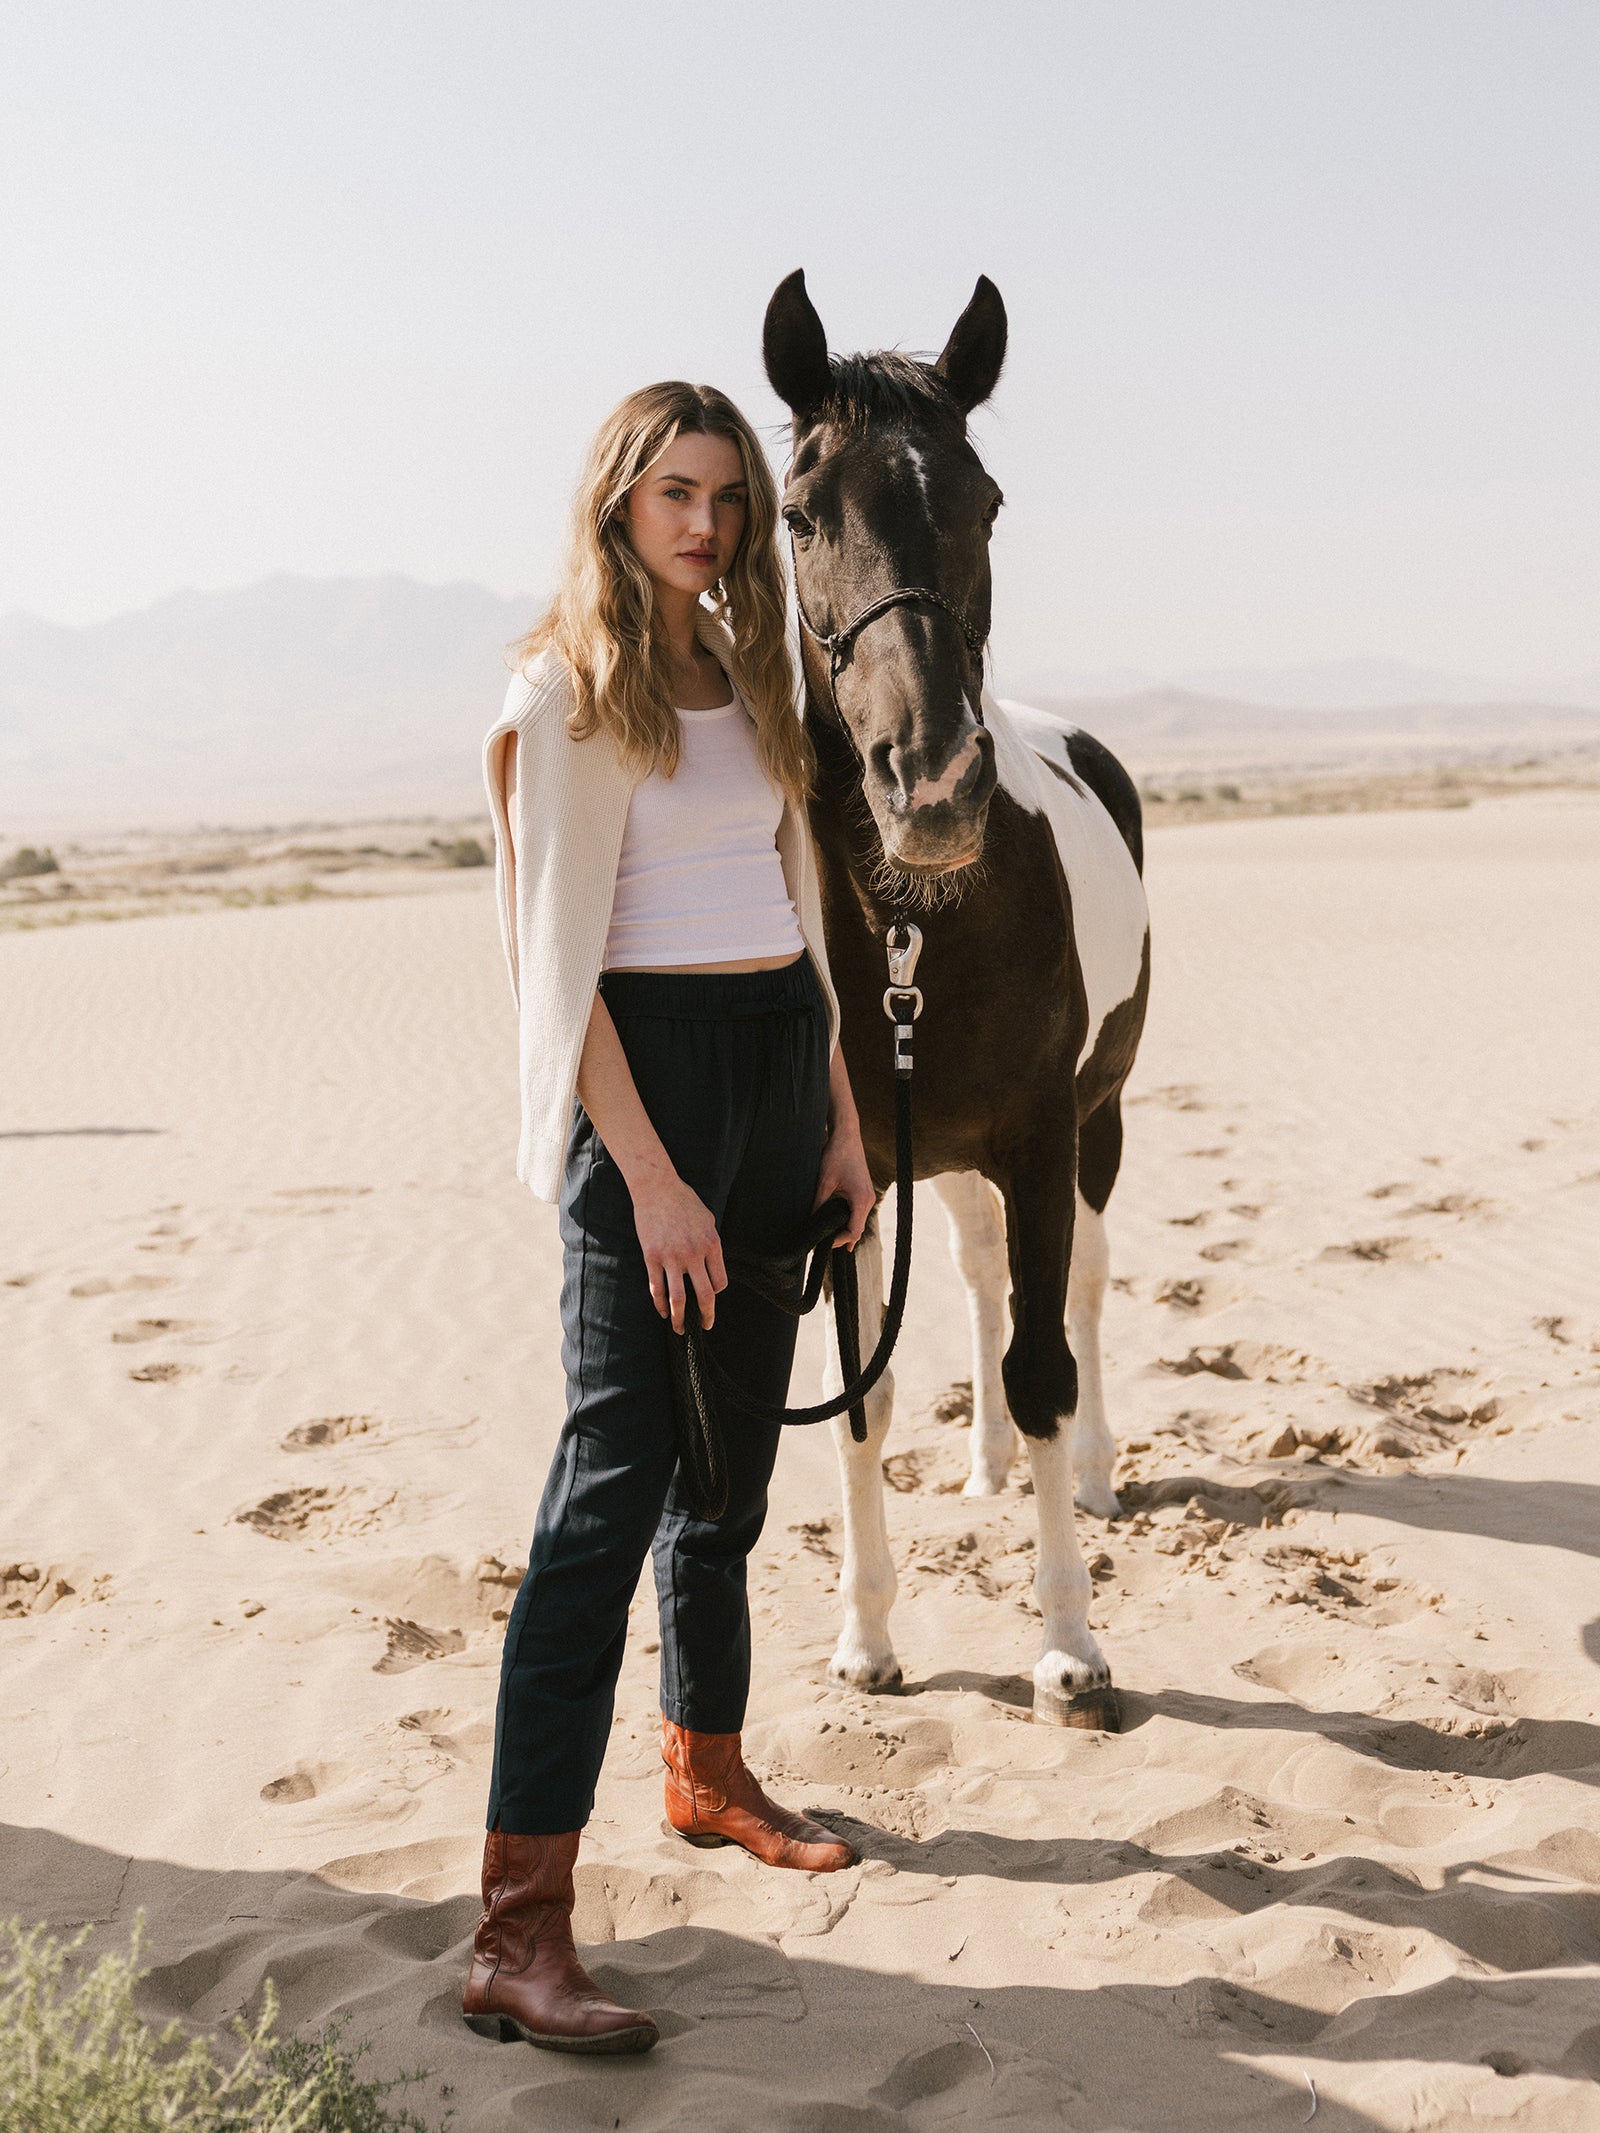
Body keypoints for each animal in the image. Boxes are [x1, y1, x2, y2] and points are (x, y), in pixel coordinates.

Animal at [768, 270, 1152, 1731]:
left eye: (985, 502)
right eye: (799, 512)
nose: (930, 786)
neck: (911, 933)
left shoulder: (1042, 1137)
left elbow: (1047, 1360)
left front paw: (1071, 1646)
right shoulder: (848, 1178)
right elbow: (860, 1398)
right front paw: (868, 1638)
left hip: (1096, 1126)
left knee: (1075, 1289)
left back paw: (1090, 1473)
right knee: (988, 1276)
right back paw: (987, 1467)